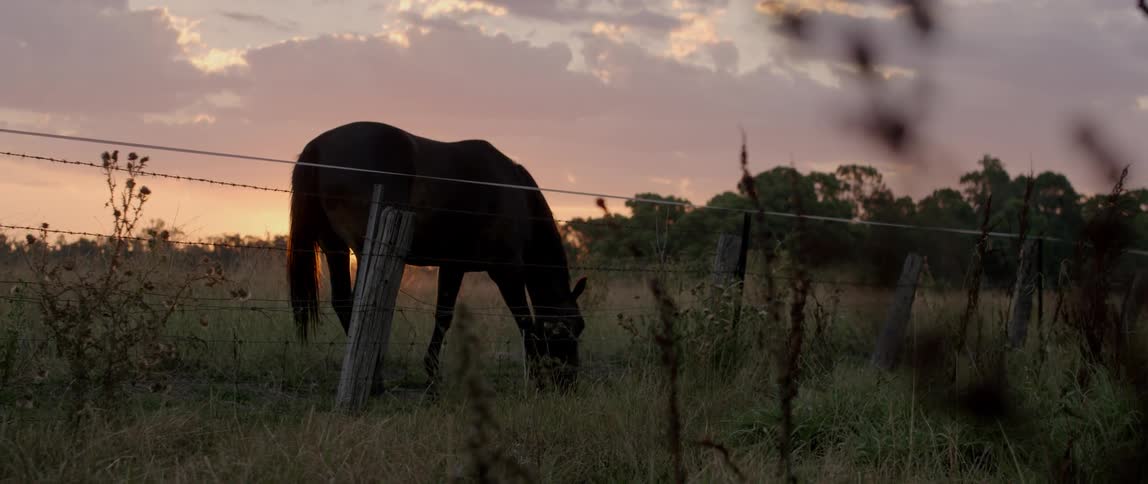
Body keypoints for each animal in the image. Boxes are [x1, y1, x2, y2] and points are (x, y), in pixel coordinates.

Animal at [286, 121, 588, 390]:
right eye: (574, 328)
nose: (569, 383)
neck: (515, 195)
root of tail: (318, 146)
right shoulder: (507, 271)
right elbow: (524, 321)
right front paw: (537, 378)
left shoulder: (453, 266)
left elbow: (444, 316)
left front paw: (432, 376)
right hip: (364, 251)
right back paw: (374, 378)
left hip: (334, 247)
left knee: (342, 302)